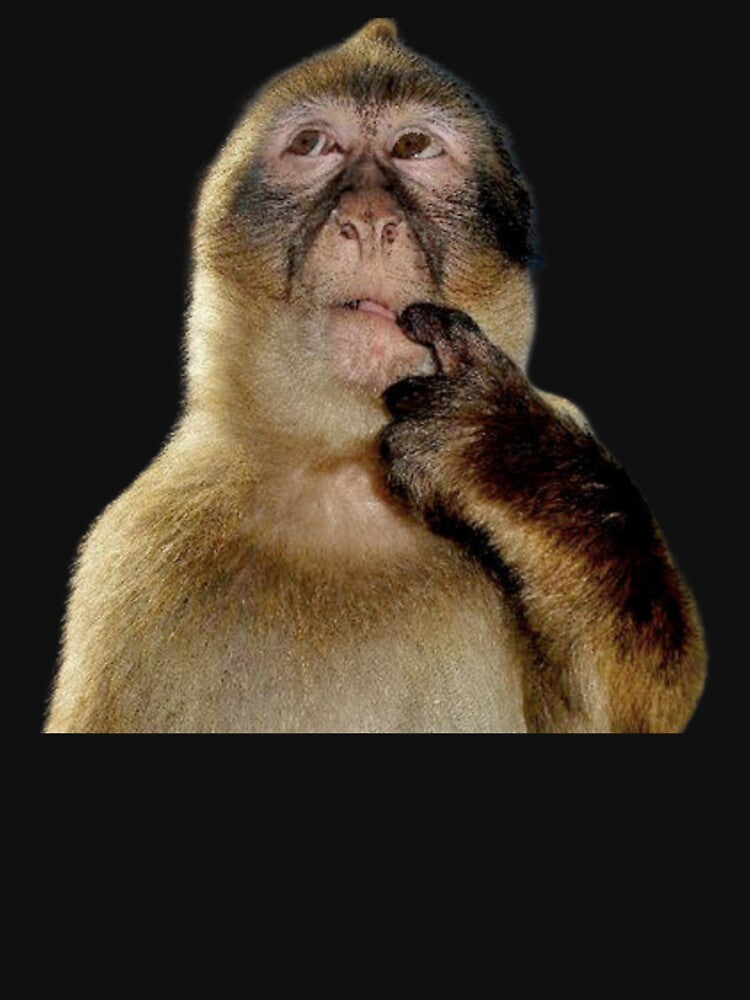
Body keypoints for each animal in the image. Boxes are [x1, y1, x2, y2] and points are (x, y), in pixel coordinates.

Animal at [45, 18, 706, 733]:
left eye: (414, 147)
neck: (344, 474)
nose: (367, 220)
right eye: (313, 144)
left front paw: (502, 451)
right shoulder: (135, 564)